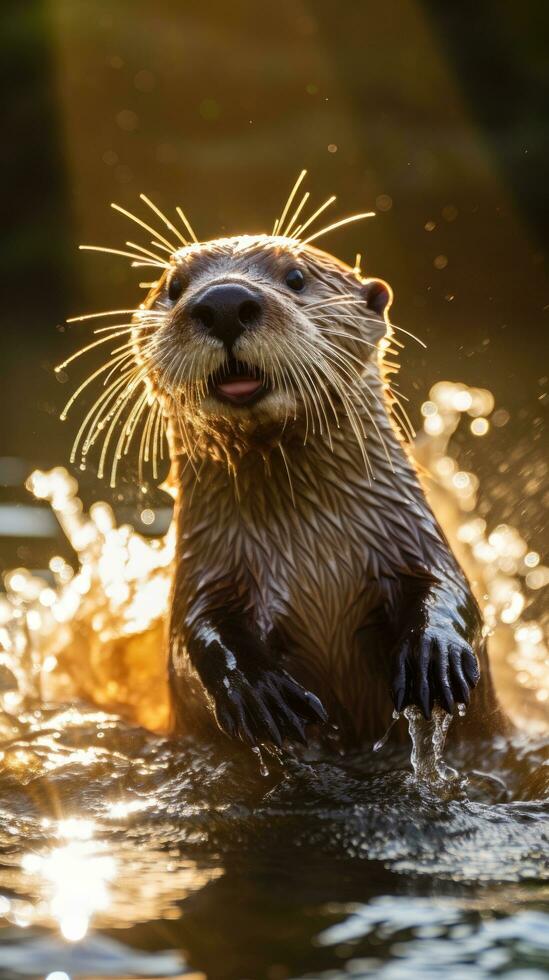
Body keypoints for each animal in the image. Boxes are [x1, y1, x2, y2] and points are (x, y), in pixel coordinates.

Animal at [63, 184, 500, 748]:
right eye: (174, 286)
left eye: (295, 277)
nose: (224, 302)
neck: (316, 554)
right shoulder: (205, 574)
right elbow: (193, 638)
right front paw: (257, 691)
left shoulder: (414, 539)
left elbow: (454, 594)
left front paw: (435, 656)